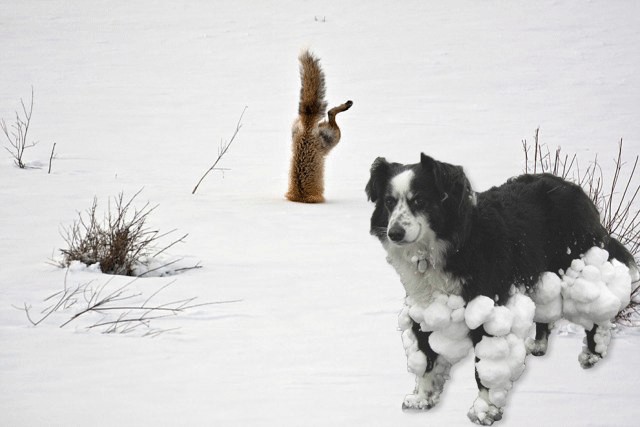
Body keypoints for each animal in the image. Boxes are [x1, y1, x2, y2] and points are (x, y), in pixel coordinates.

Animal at [368, 153, 636, 424]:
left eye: (420, 200)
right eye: (389, 202)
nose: (394, 233)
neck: (449, 244)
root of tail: (575, 190)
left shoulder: (488, 303)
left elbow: (485, 363)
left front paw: (484, 410)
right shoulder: (424, 304)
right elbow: (426, 354)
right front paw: (422, 398)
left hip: (576, 261)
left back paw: (593, 354)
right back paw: (538, 345)